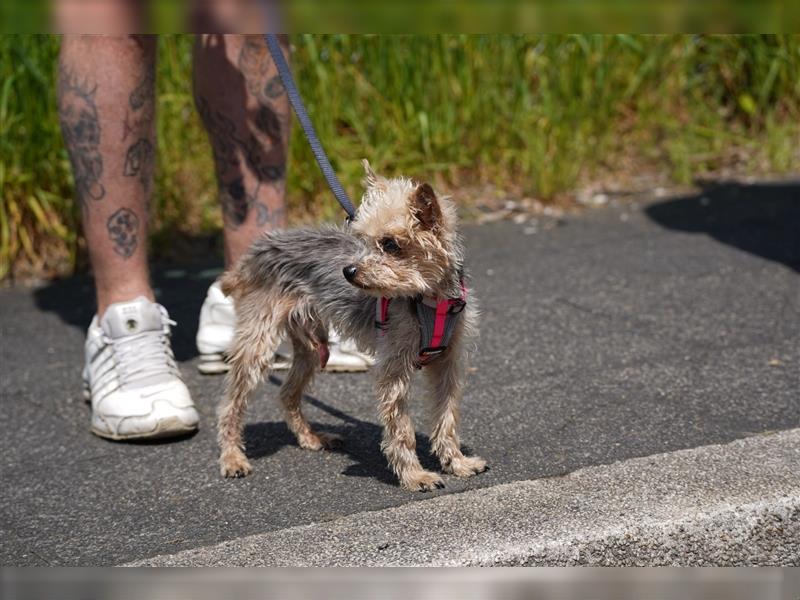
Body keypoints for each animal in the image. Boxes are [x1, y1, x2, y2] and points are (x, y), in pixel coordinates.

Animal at [216, 161, 484, 492]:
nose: (349, 271)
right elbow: (402, 429)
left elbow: (447, 417)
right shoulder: (394, 369)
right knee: (231, 403)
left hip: (311, 346)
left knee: (288, 393)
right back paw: (232, 458)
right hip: (259, 341)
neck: (427, 297)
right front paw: (415, 476)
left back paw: (312, 438)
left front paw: (457, 463)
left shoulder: (448, 364)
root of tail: (259, 249)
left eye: (390, 244)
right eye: (365, 241)